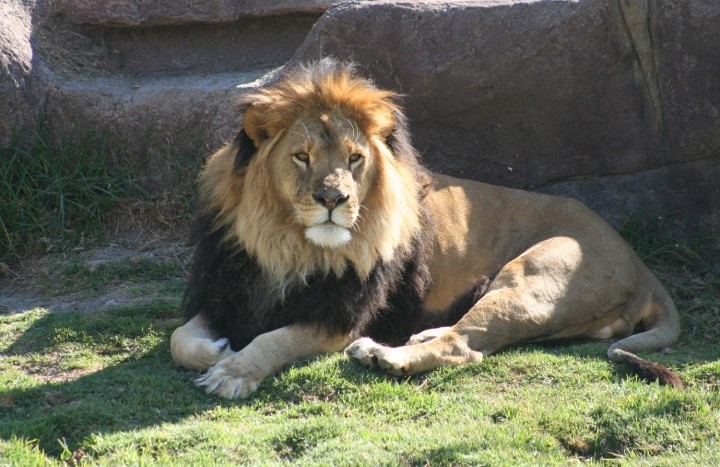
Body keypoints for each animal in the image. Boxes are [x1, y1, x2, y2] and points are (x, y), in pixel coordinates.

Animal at [170, 59, 682, 399]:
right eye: (302, 157)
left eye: (354, 159)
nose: (334, 200)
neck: (287, 247)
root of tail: (641, 266)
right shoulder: (227, 292)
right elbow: (181, 340)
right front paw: (218, 350)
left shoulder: (343, 318)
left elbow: (274, 338)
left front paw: (234, 371)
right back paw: (412, 338)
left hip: (531, 279)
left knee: (465, 346)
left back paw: (385, 356)